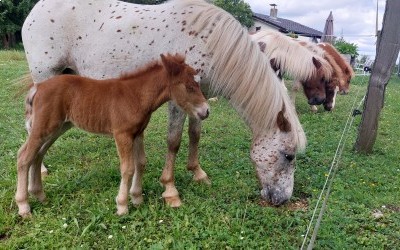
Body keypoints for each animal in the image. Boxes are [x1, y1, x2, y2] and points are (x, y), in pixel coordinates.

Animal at [15, 53, 209, 217]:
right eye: (189, 87)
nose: (206, 111)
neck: (136, 96)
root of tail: (38, 87)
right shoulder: (122, 134)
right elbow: (128, 168)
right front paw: (122, 205)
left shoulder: (138, 134)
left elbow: (141, 163)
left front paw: (137, 198)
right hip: (44, 128)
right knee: (24, 157)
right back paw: (24, 206)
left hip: (57, 128)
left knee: (37, 154)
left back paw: (39, 195)